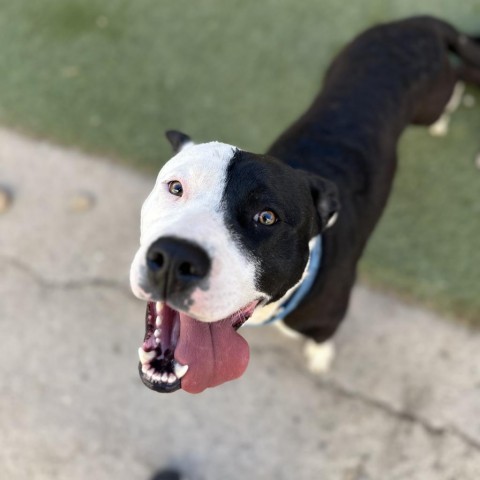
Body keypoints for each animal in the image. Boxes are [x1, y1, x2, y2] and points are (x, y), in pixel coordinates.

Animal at [129, 16, 480, 396]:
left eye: (267, 217)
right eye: (175, 187)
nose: (174, 257)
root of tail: (419, 22)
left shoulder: (330, 316)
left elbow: (322, 340)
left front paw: (320, 358)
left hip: (431, 99)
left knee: (455, 84)